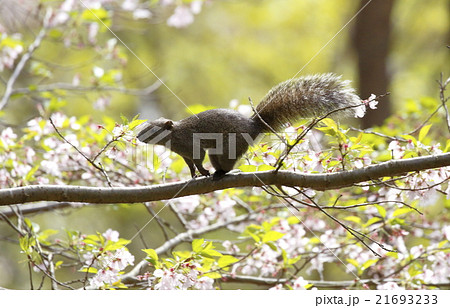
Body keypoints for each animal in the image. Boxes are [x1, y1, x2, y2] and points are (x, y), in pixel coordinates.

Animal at [137, 73, 362, 178]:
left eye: (152, 128)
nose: (138, 137)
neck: (174, 136)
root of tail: (253, 126)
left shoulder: (191, 145)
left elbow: (198, 159)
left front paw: (202, 171)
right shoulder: (184, 153)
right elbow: (190, 164)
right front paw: (193, 175)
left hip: (229, 147)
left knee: (227, 165)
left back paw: (220, 174)